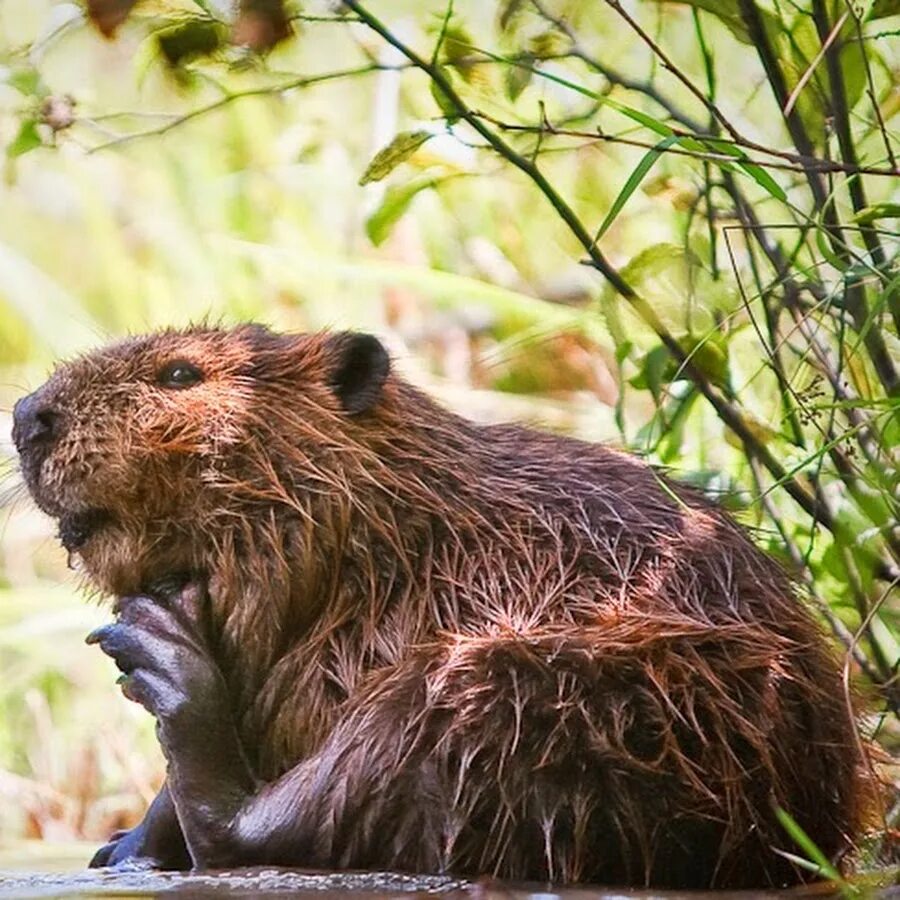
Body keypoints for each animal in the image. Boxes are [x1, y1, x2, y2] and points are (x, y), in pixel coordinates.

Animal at [12, 322, 872, 884]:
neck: (406, 542)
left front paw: (157, 627)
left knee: (281, 816)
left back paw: (163, 663)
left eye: (182, 375)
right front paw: (127, 842)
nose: (27, 415)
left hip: (538, 684)